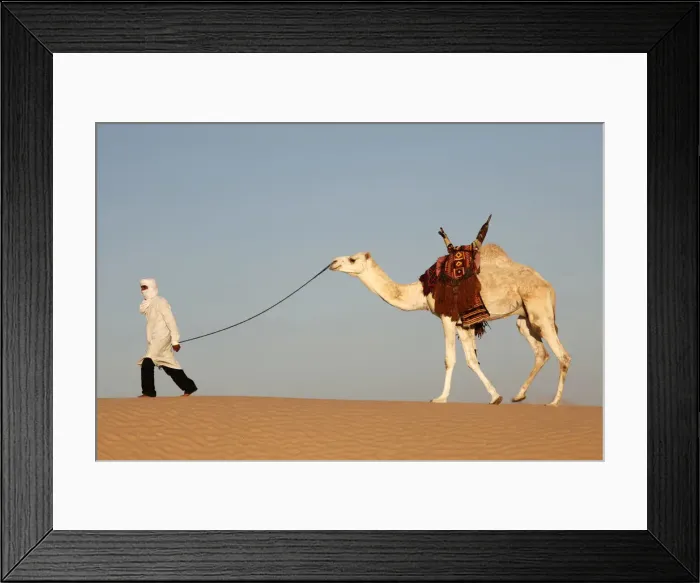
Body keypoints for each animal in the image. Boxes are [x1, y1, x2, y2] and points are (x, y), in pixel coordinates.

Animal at [329, 243, 571, 406]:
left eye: (352, 259)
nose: (333, 262)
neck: (422, 290)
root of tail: (549, 285)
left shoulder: (447, 317)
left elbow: (449, 359)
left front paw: (440, 397)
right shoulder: (464, 324)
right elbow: (472, 360)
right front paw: (495, 396)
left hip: (540, 310)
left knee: (563, 355)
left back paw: (554, 402)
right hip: (524, 318)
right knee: (541, 352)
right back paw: (519, 395)